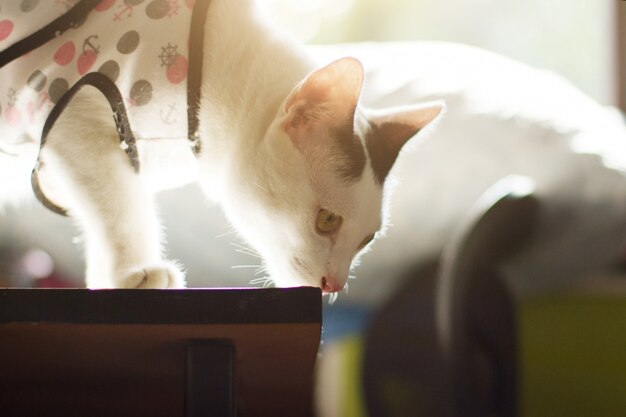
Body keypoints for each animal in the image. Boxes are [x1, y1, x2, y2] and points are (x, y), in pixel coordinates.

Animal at [0, 0, 438, 290]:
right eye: (327, 220)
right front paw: (132, 273)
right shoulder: (75, 116)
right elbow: (119, 208)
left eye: (367, 241)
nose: (335, 285)